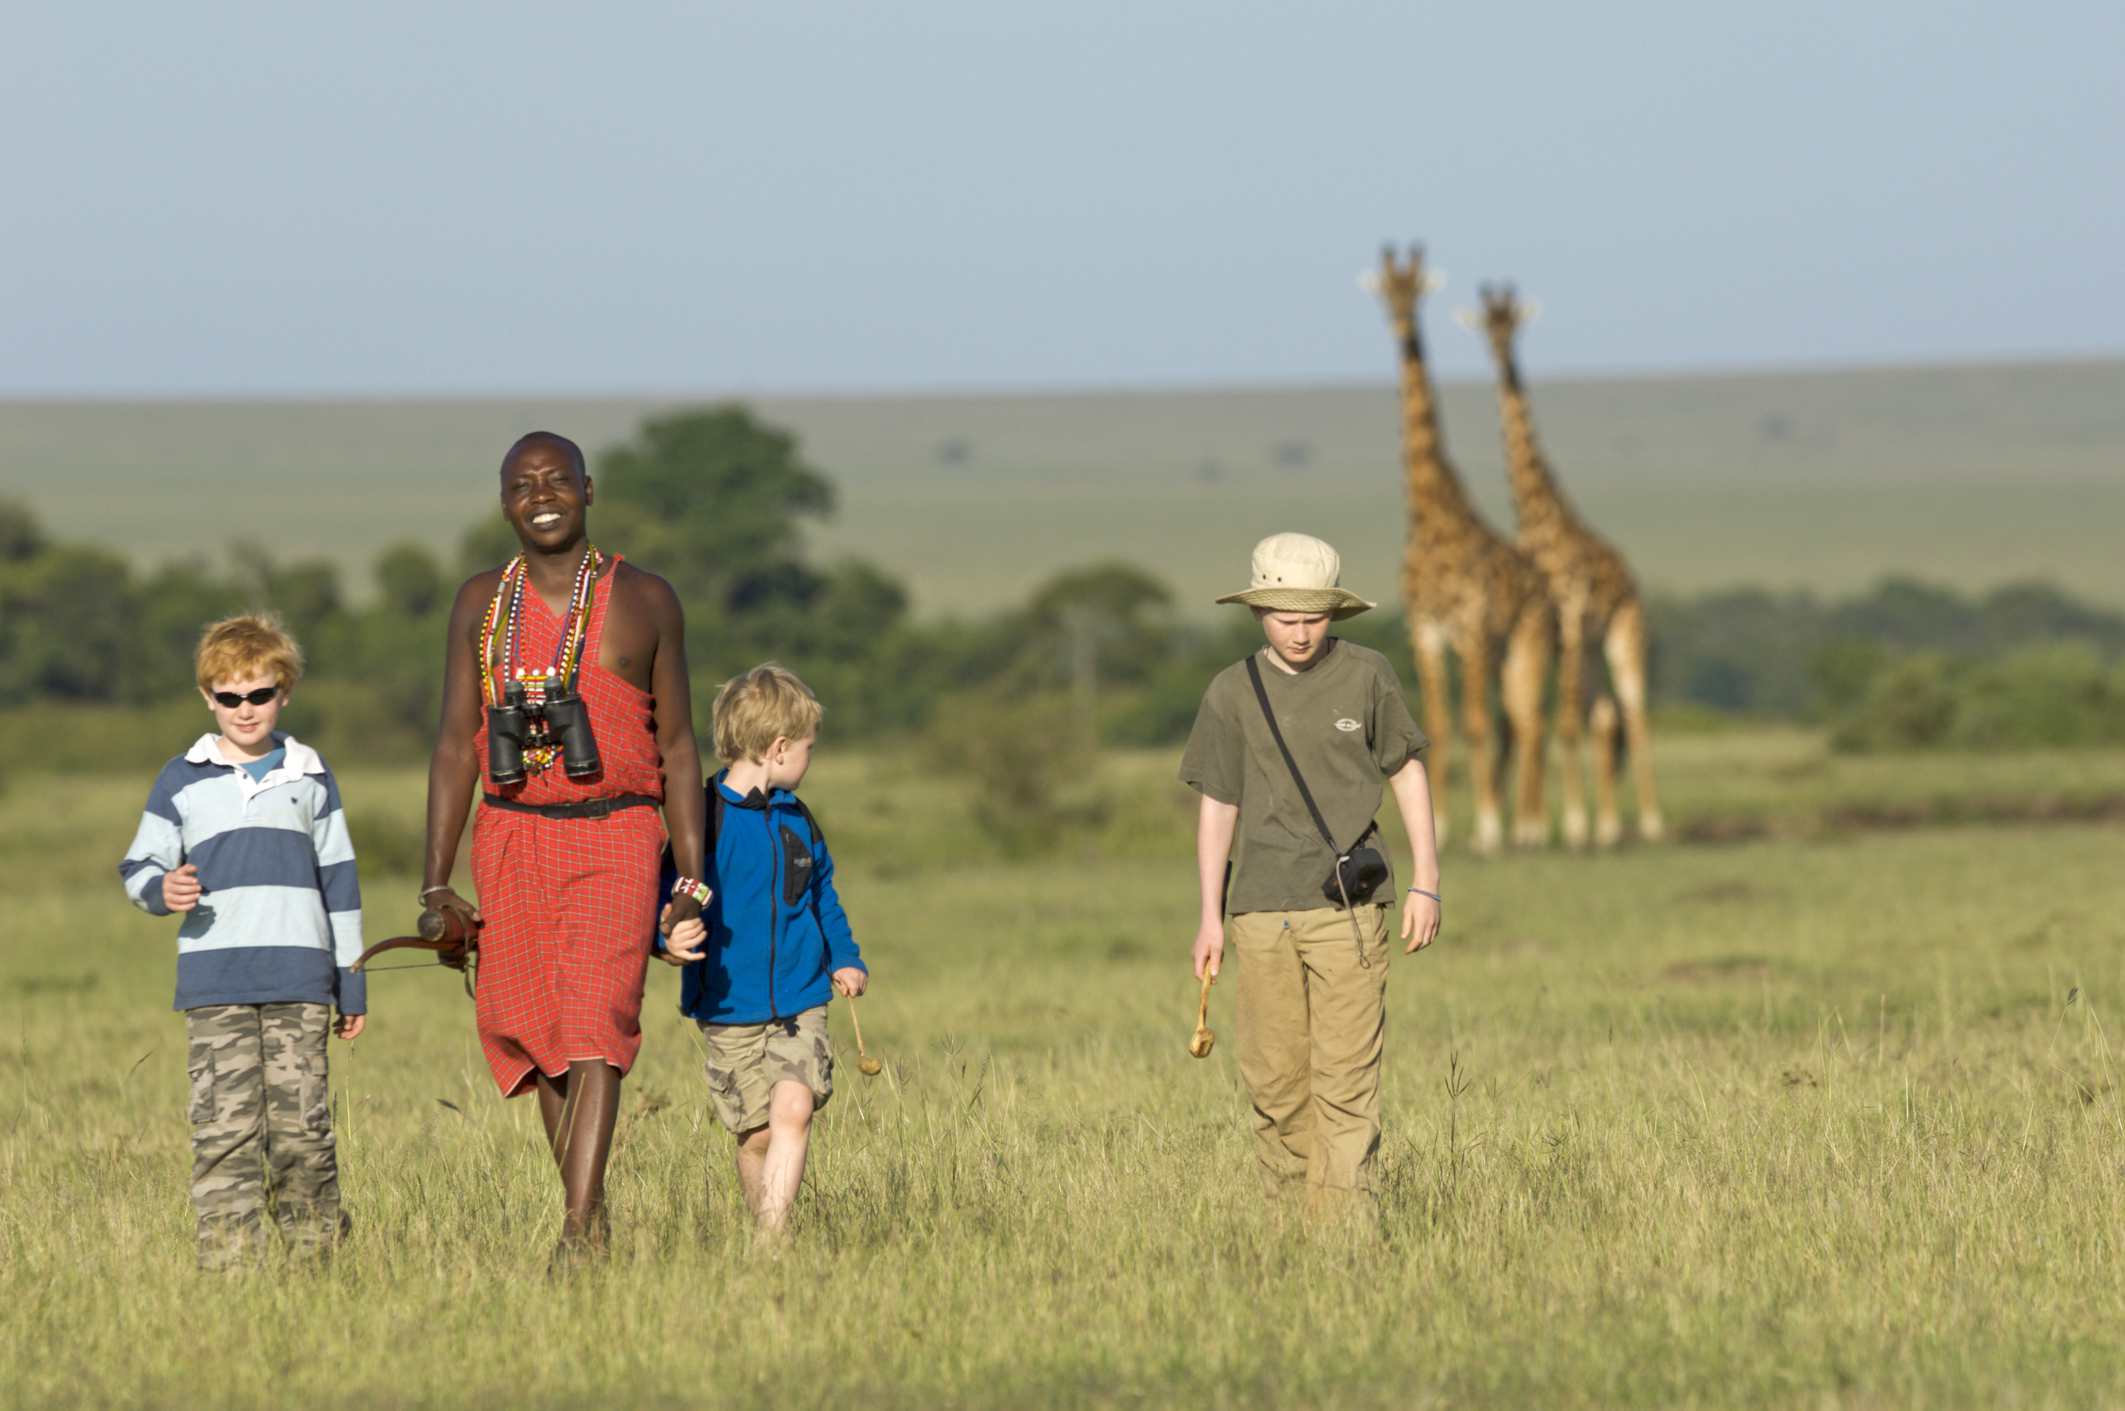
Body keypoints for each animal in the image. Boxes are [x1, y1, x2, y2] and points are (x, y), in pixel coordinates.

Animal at [1368, 247, 1555, 854]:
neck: (1430, 511)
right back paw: (1524, 824)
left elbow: (1471, 725)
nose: (1401, 322)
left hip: (1527, 640)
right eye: (1386, 291)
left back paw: (1529, 828)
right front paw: (1445, 828)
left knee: (1529, 719)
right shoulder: (1425, 630)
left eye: (1415, 290)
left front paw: (1488, 829)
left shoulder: (1471, 628)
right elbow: (1439, 725)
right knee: (1513, 721)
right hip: (1500, 652)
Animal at [1479, 280, 1657, 841]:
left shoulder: (1571, 620)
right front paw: (1527, 824)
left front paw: (1566, 825)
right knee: (1604, 715)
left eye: (1512, 321)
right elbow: (1525, 720)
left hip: (1621, 631)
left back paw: (1647, 822)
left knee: (1632, 712)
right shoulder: (1545, 632)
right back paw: (1607, 825)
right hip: (1590, 647)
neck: (1539, 521)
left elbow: (1558, 721)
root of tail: (1630, 578)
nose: (1499, 349)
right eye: (1487, 323)